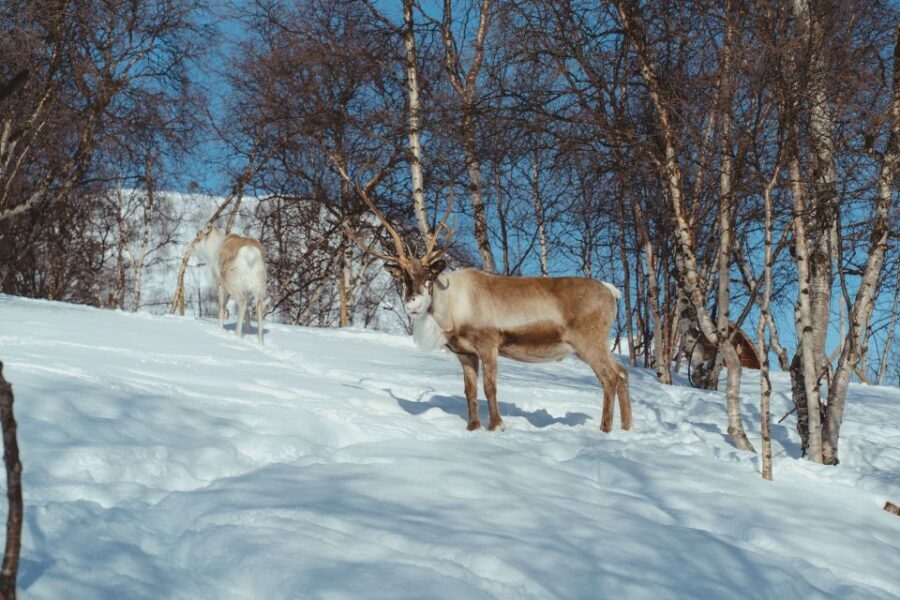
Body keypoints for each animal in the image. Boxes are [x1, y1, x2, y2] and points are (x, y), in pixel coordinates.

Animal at [346, 189, 631, 433]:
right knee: (622, 373)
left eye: (428, 276)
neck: (451, 310)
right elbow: (469, 391)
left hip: (589, 342)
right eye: (404, 277)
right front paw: (473, 427)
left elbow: (490, 387)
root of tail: (612, 292)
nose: (413, 303)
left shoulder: (488, 343)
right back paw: (627, 427)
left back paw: (605, 429)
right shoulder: (464, 353)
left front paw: (496, 426)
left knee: (609, 378)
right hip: (596, 346)